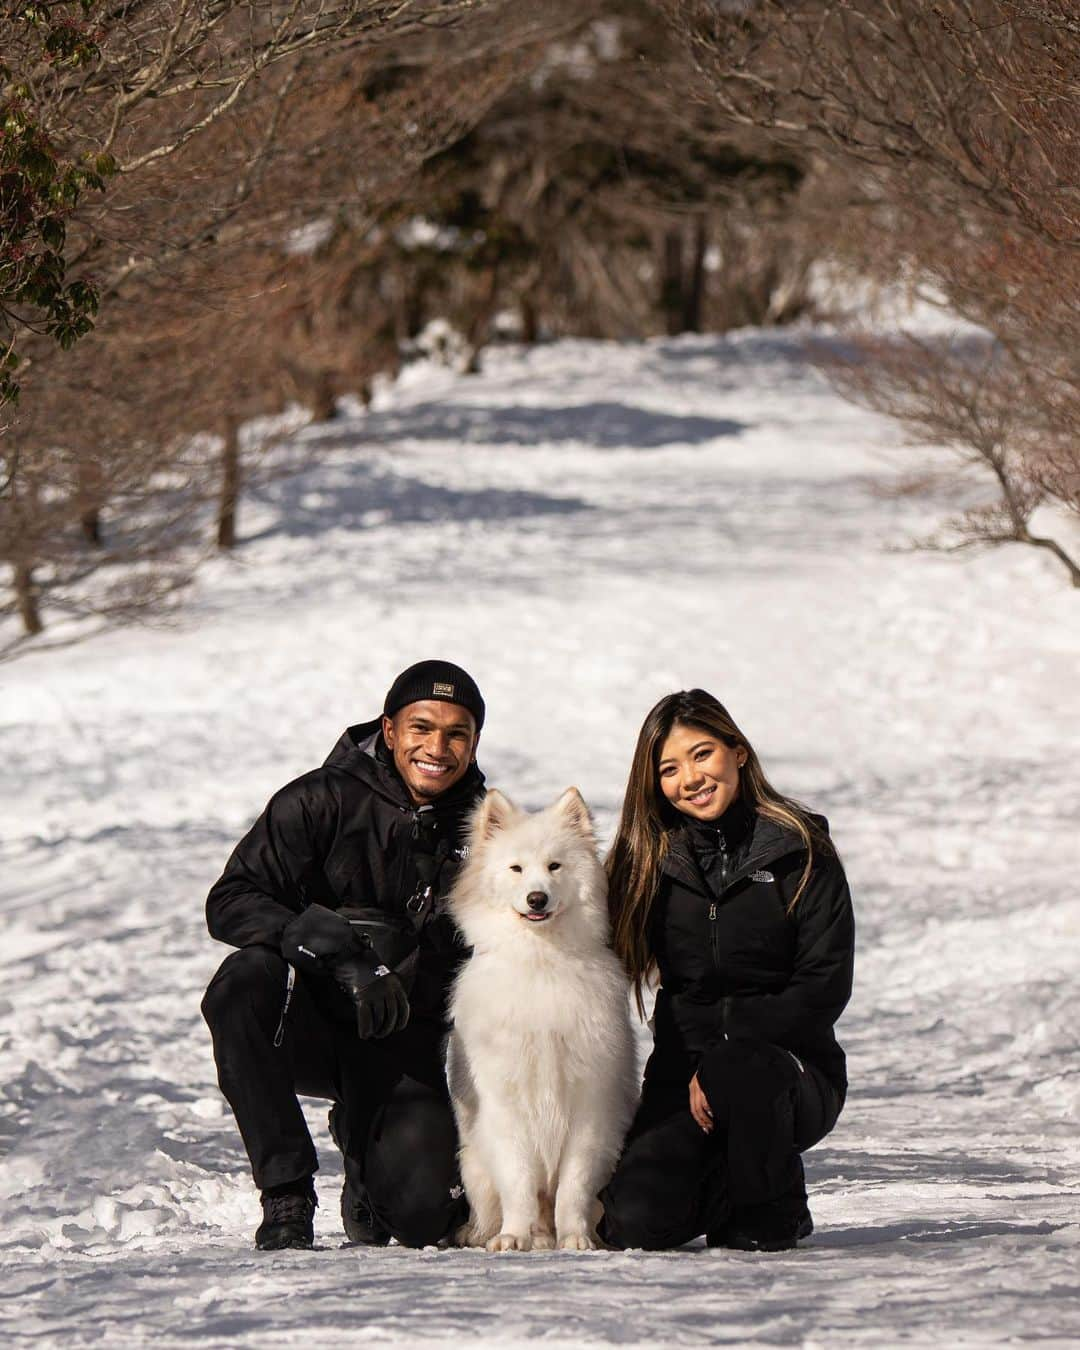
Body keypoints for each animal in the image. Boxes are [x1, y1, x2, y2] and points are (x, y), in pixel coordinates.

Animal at [445, 788, 637, 1247]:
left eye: (555, 866)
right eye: (516, 869)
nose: (537, 899)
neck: (541, 962)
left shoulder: (590, 1108)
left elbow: (573, 1187)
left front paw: (577, 1240)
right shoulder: (506, 1106)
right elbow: (518, 1183)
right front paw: (513, 1238)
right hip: (474, 1163)